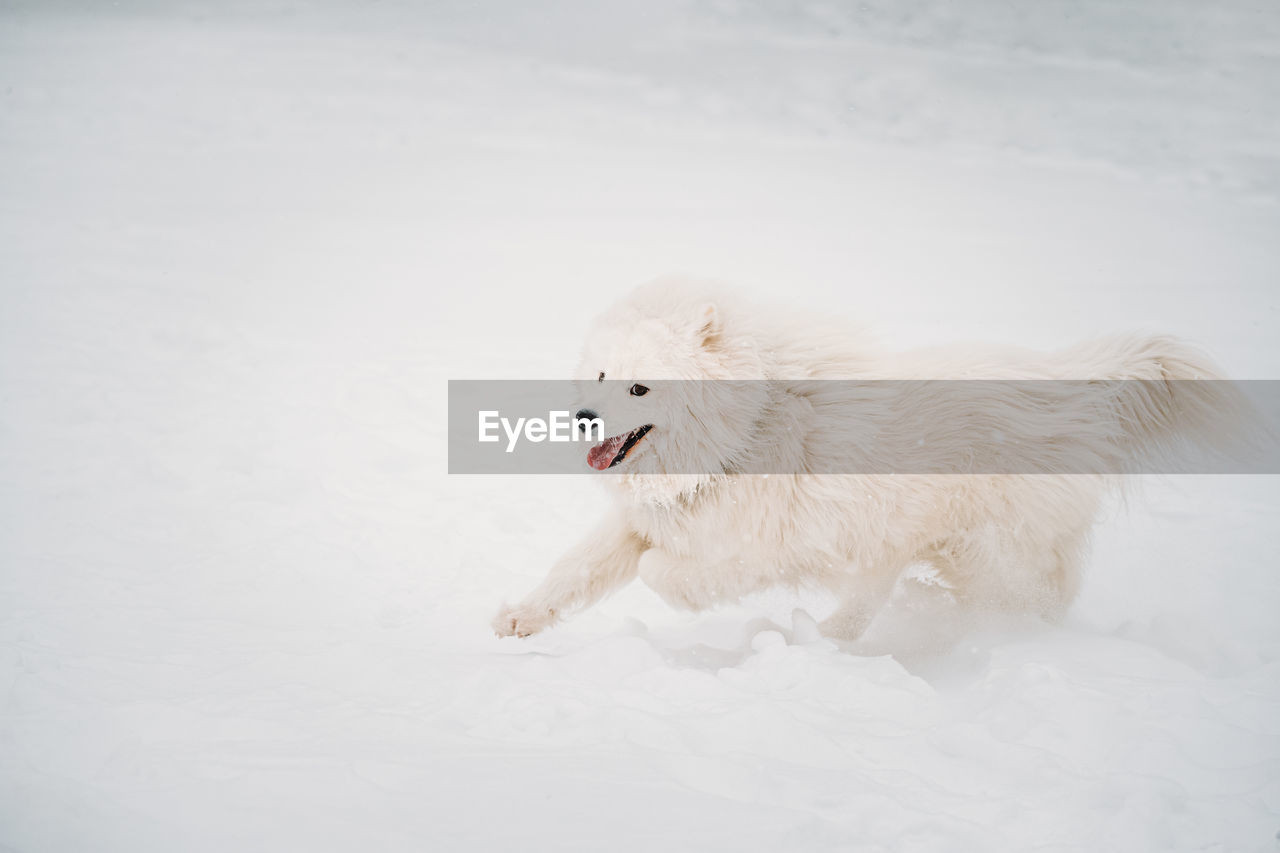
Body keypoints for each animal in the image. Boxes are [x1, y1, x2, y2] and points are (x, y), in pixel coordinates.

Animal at [491, 279, 1249, 637]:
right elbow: (575, 571)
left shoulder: (747, 551)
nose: (582, 419)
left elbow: (662, 574)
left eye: (641, 388)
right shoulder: (648, 519)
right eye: (599, 376)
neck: (741, 436)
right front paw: (519, 618)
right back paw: (829, 636)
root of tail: (1072, 388)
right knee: (874, 591)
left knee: (1043, 596)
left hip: (983, 552)